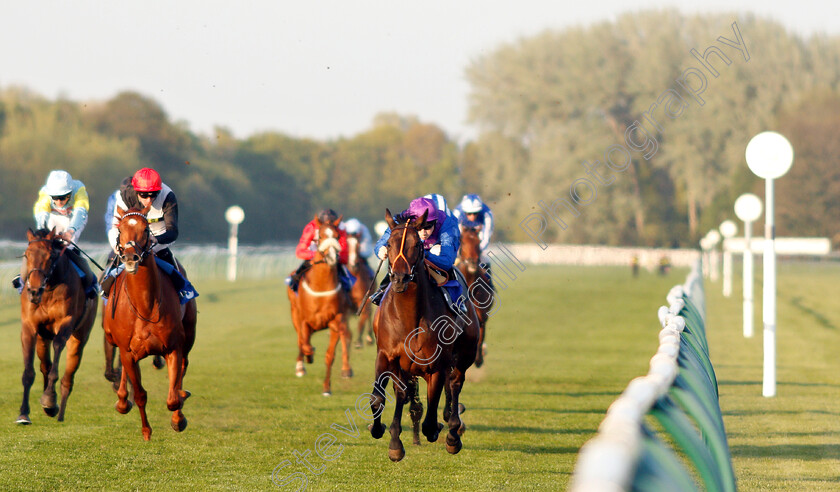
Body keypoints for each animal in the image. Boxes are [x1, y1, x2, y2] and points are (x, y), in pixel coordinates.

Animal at [17, 229, 97, 424]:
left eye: (51, 256)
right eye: (27, 254)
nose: (34, 291)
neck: (48, 291)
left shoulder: (66, 322)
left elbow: (58, 349)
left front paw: (49, 399)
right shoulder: (29, 327)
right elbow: (29, 372)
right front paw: (23, 413)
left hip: (79, 338)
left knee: (68, 376)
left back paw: (58, 411)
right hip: (42, 339)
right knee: (45, 365)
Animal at [102, 206, 198, 440]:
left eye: (146, 229)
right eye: (120, 229)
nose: (130, 257)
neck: (145, 306)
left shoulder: (173, 347)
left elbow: (173, 399)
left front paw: (178, 419)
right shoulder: (128, 352)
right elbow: (139, 394)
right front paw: (146, 431)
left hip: (189, 334)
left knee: (184, 367)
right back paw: (122, 400)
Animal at [288, 215, 352, 396]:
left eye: (337, 236)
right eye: (321, 236)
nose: (331, 257)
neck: (321, 286)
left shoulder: (336, 320)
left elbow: (330, 355)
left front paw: (326, 388)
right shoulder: (304, 321)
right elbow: (305, 344)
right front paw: (307, 358)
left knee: (346, 336)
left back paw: (346, 369)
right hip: (294, 314)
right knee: (300, 340)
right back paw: (301, 365)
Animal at [370, 210, 480, 462]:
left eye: (417, 245)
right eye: (388, 244)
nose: (400, 278)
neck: (408, 318)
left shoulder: (436, 364)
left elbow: (431, 417)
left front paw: (441, 430)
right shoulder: (386, 355)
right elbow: (380, 398)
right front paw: (387, 436)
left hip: (464, 356)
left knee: (455, 384)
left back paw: (453, 432)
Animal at [456, 225, 496, 368]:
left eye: (478, 242)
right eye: (462, 241)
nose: (472, 262)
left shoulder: (481, 313)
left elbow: (480, 332)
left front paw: (479, 358)